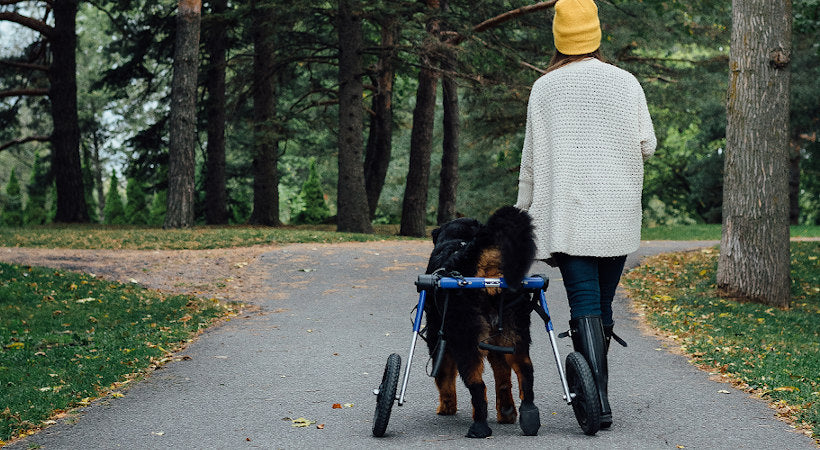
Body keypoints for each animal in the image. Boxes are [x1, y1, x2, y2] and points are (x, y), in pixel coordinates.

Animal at [426, 207, 540, 440]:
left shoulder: (437, 339)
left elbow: (443, 378)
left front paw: (446, 407)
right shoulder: (497, 347)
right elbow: (503, 380)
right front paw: (506, 412)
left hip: (465, 342)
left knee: (478, 388)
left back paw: (479, 427)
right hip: (514, 337)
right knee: (525, 374)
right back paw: (528, 414)